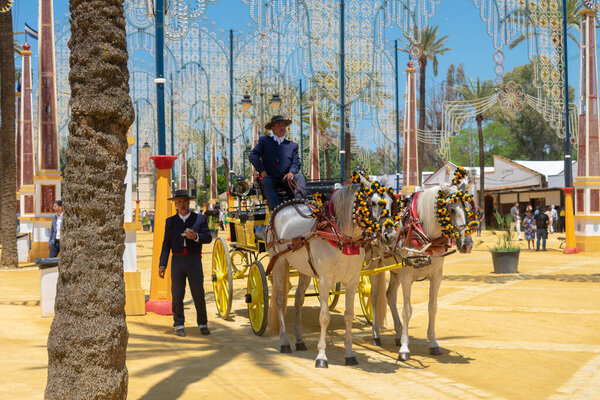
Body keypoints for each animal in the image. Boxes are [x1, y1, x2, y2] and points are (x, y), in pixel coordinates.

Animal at [266, 183, 396, 368]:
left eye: (392, 203)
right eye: (373, 203)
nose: (390, 235)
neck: (342, 238)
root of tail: (284, 206)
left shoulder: (352, 281)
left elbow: (348, 316)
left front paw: (350, 355)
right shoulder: (324, 281)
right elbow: (324, 317)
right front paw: (321, 357)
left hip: (305, 269)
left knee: (298, 300)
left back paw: (299, 340)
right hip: (278, 262)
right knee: (279, 299)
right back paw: (284, 342)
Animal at [370, 183, 474, 360]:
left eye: (468, 208)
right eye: (451, 209)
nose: (467, 244)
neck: (425, 236)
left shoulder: (436, 275)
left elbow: (432, 307)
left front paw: (433, 343)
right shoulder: (406, 276)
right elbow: (407, 311)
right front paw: (404, 349)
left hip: (395, 270)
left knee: (390, 296)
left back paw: (398, 334)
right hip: (373, 266)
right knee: (374, 296)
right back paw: (376, 335)